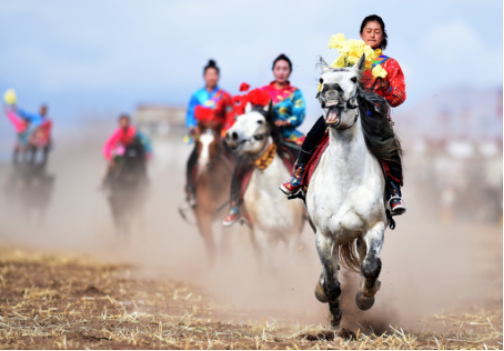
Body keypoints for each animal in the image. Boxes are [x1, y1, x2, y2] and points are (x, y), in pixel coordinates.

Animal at [192, 121, 233, 264]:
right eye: (198, 143)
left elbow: (224, 246)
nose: (203, 164)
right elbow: (211, 246)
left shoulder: (226, 214)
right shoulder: (203, 215)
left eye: (215, 144)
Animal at [308, 56, 402, 332]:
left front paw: (365, 297)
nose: (331, 90)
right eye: (322, 79)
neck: (344, 181)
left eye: (352, 79)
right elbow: (331, 282)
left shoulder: (374, 227)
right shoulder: (323, 235)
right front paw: (335, 318)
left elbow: (371, 266)